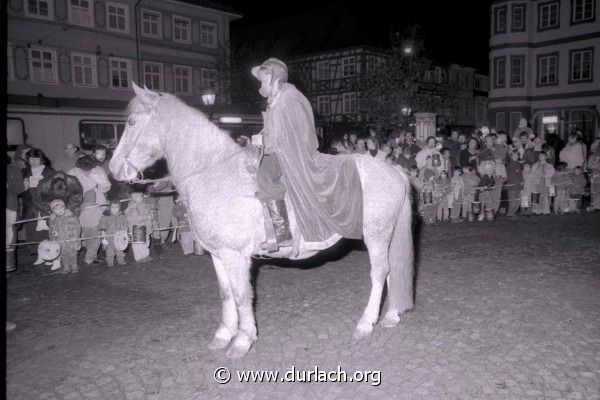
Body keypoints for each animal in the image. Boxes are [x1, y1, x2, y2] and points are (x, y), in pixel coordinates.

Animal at [110, 84, 414, 360]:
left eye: (132, 122)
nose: (113, 169)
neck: (214, 173)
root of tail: (393, 170)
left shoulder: (236, 256)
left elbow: (242, 295)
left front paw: (243, 340)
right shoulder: (218, 255)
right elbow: (226, 294)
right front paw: (223, 334)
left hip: (376, 234)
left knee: (379, 272)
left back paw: (366, 324)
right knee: (392, 269)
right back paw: (391, 316)